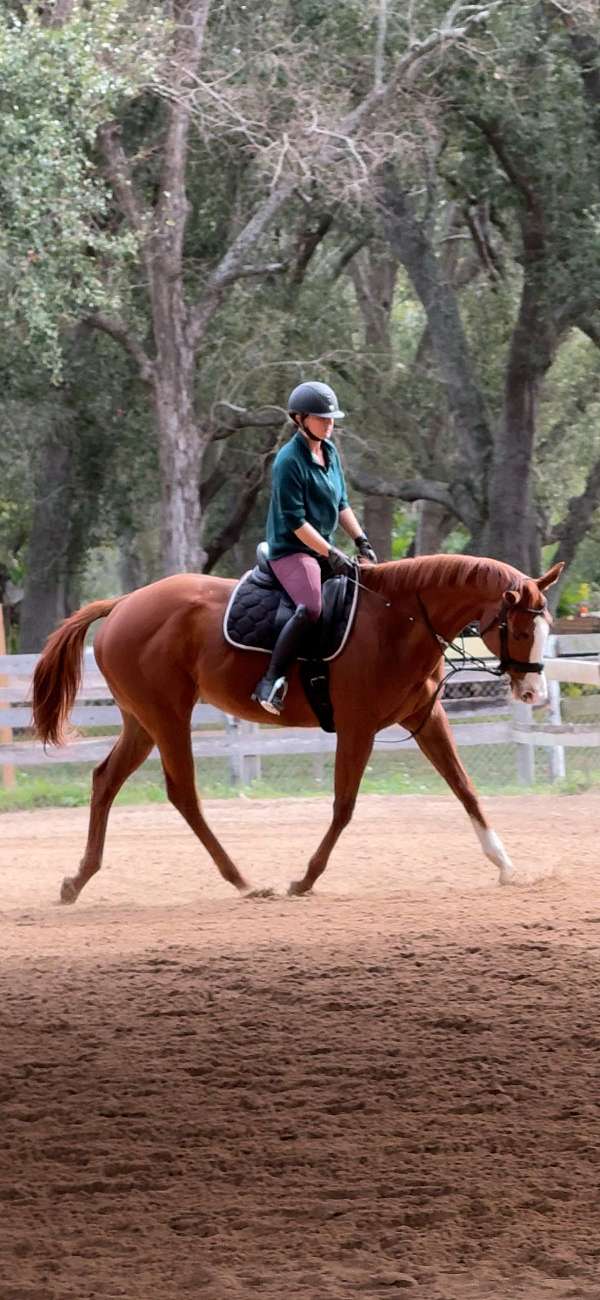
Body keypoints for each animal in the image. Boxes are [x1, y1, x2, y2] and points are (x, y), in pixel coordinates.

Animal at [31, 554, 562, 904]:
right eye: (519, 630)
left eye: (547, 628)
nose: (533, 693)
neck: (397, 621)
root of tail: (123, 604)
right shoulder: (358, 727)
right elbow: (344, 807)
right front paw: (305, 879)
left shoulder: (425, 718)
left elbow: (464, 787)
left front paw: (506, 866)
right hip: (167, 717)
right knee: (183, 794)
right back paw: (243, 880)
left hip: (142, 722)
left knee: (105, 780)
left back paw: (77, 880)